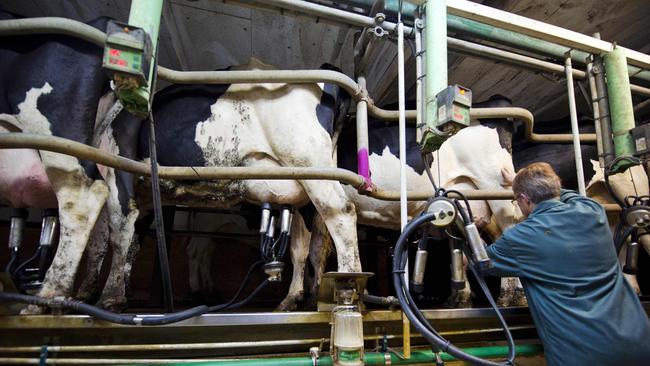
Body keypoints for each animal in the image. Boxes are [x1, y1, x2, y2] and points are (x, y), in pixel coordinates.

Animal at [0, 12, 141, 314]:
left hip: (58, 132)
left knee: (82, 197)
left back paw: (48, 295)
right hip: (110, 148)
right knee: (119, 212)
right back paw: (105, 296)